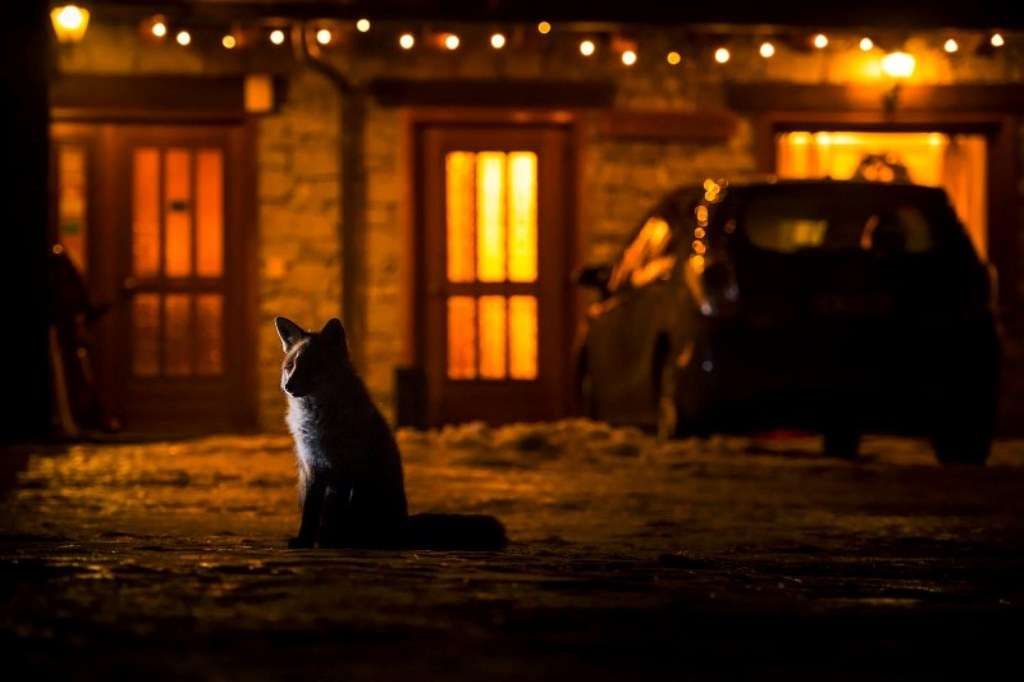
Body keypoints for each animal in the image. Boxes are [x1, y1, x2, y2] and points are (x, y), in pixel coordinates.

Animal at [276, 315, 507, 548]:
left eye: (311, 366)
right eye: (290, 367)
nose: (288, 386)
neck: (317, 422)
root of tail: (404, 524)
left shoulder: (344, 469)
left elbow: (335, 514)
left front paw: (329, 541)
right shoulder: (312, 468)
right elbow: (309, 514)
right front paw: (304, 540)